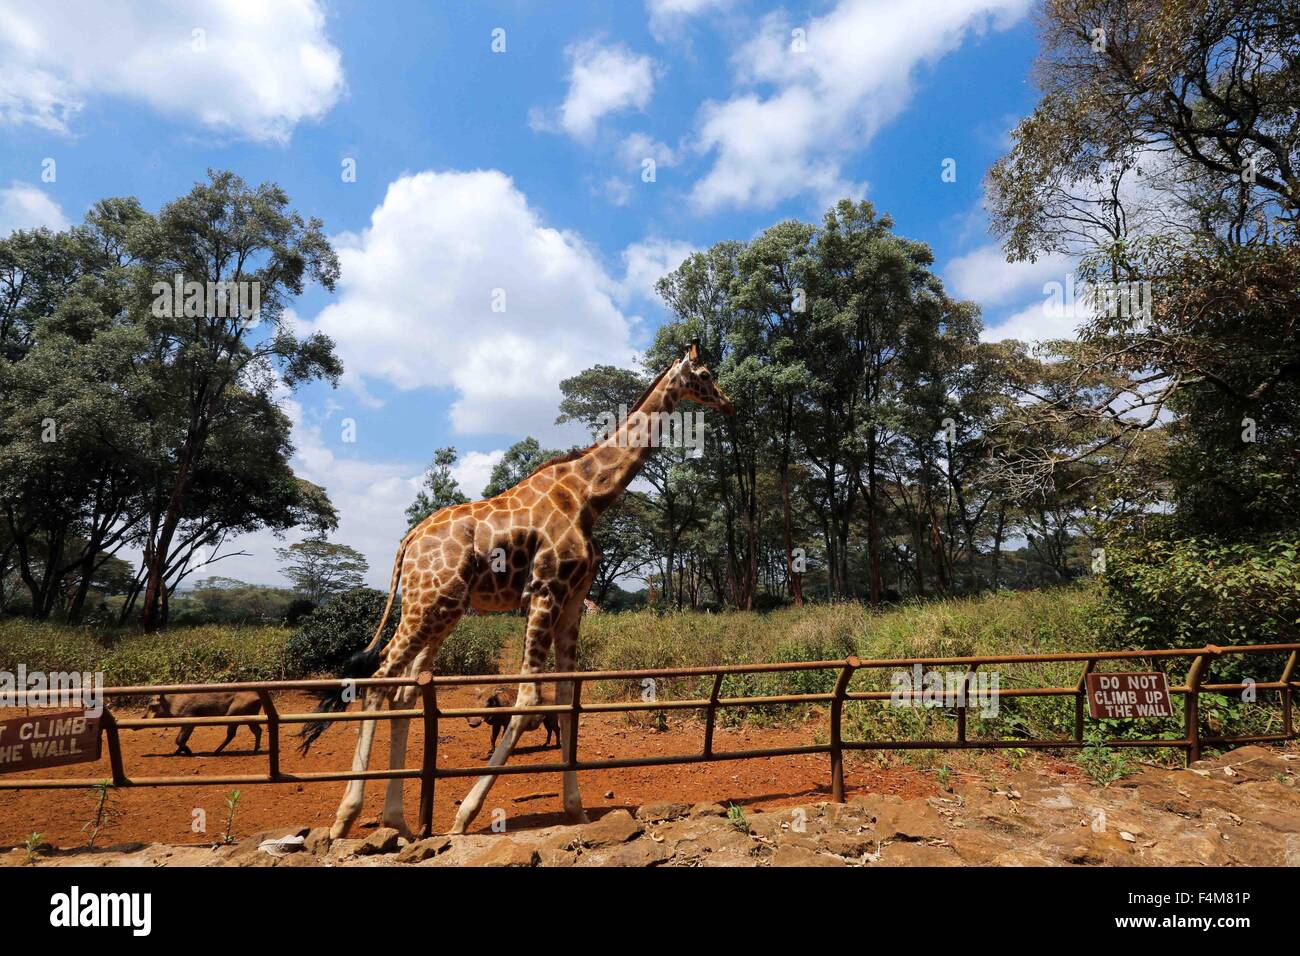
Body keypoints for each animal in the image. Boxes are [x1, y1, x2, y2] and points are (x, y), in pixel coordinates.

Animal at [297, 343, 738, 837]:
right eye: (705, 373)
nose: (729, 404)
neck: (589, 496)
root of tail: (407, 542)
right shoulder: (546, 588)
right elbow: (528, 701)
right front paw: (464, 816)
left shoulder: (574, 599)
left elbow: (566, 700)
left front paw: (576, 810)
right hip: (426, 602)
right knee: (379, 679)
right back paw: (346, 818)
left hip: (444, 608)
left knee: (404, 690)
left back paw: (400, 822)